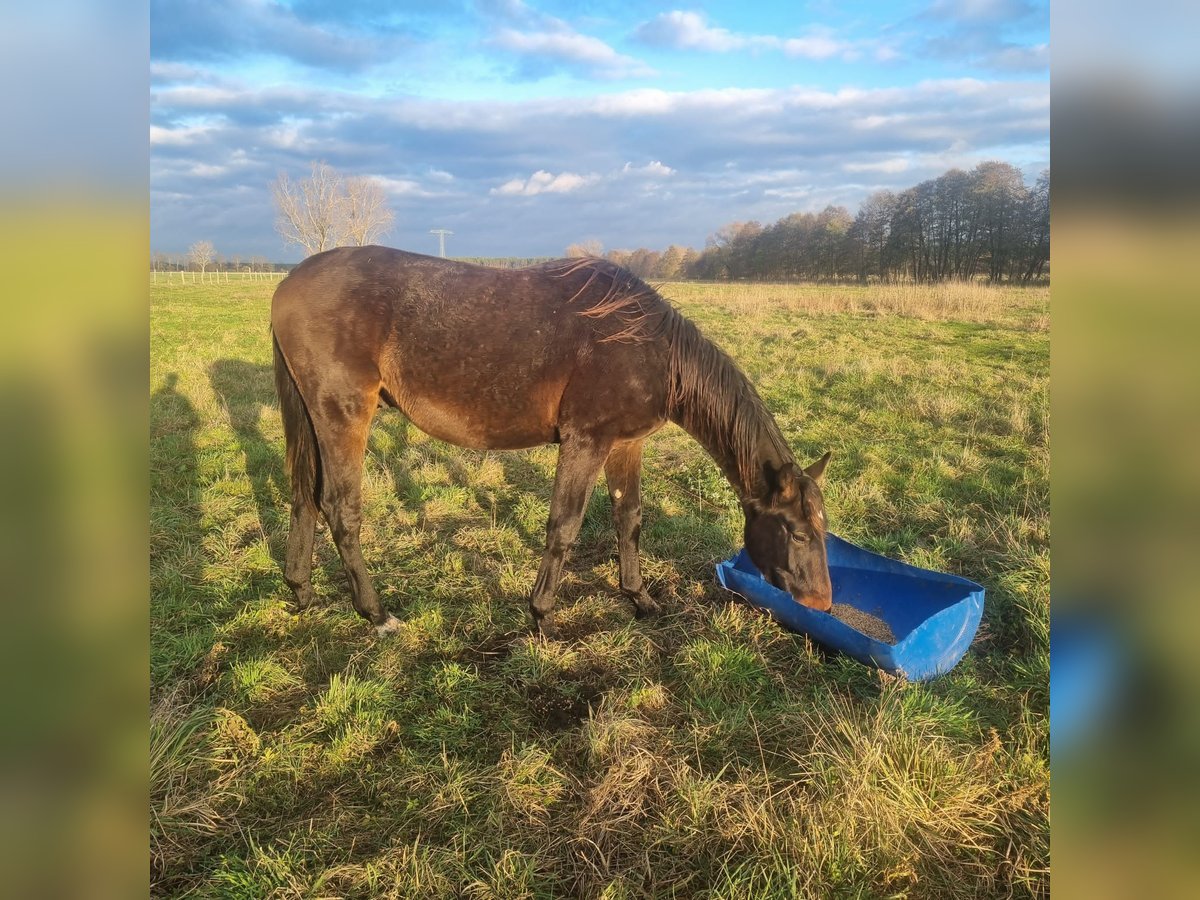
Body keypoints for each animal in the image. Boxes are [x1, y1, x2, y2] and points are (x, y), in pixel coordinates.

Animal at [274, 248, 835, 643]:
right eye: (797, 531)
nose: (822, 603)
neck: (649, 346)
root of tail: (286, 284)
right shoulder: (585, 441)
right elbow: (564, 527)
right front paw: (542, 616)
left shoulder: (625, 445)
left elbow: (629, 519)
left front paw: (639, 598)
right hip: (345, 415)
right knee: (339, 508)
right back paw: (377, 614)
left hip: (313, 418)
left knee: (304, 497)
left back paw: (301, 590)